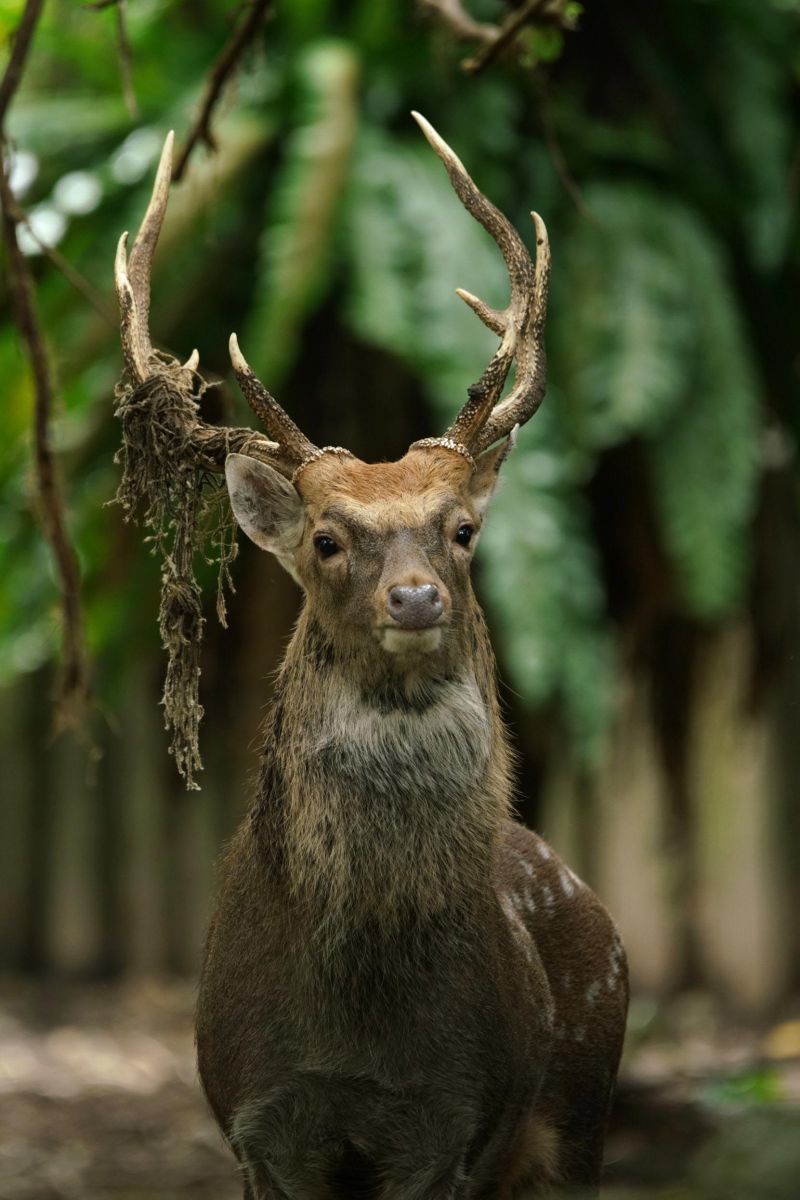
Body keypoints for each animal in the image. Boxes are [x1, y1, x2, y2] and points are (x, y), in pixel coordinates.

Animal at [115, 114, 628, 1200]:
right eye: (325, 539)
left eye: (462, 530)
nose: (416, 595)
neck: (356, 1023)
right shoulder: (257, 1117)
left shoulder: (451, 1122)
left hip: (580, 1116)